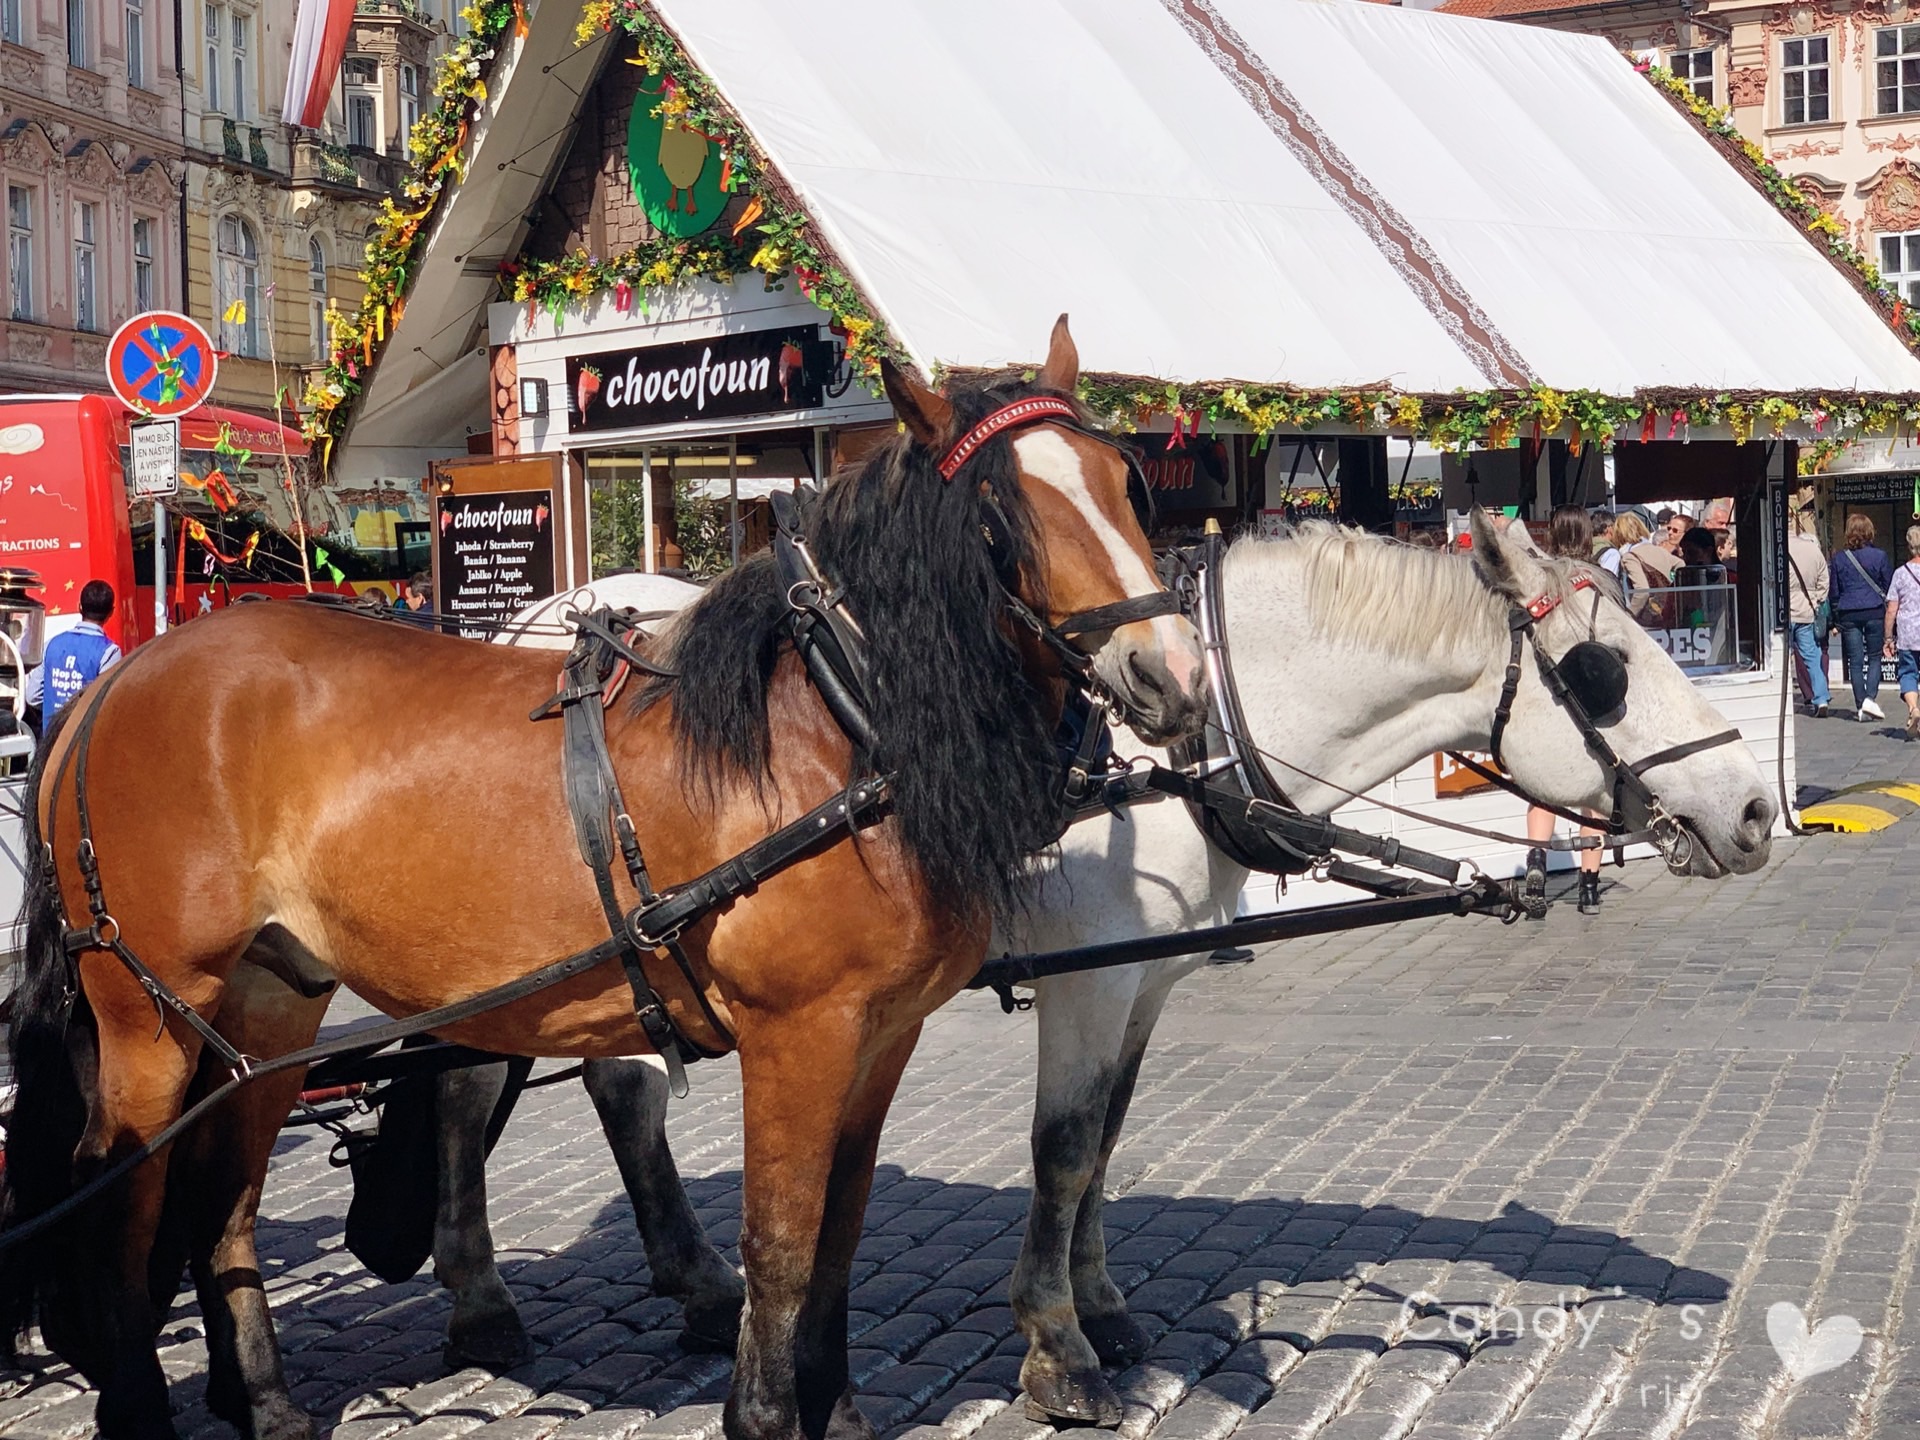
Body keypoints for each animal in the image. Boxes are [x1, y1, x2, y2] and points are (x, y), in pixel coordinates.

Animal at [0, 320, 1198, 1440]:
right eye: (1001, 520)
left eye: (1124, 483)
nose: (1171, 675)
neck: (832, 727)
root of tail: (112, 685)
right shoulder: (801, 1037)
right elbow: (782, 1244)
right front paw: (765, 1410)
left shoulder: (881, 1039)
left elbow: (838, 1240)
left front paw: (836, 1407)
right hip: (149, 1017)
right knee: (121, 1193)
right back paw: (141, 1402)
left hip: (268, 1008)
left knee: (224, 1202)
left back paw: (264, 1398)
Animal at [416, 510, 1766, 1413]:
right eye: (1604, 672)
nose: (1757, 808)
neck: (1180, 738)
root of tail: (537, 618)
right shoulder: (1090, 971)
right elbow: (1062, 1149)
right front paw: (1056, 1348)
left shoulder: (1147, 976)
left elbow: (1107, 1141)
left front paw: (1104, 1307)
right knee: (471, 1090)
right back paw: (483, 1303)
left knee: (618, 1088)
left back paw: (695, 1285)